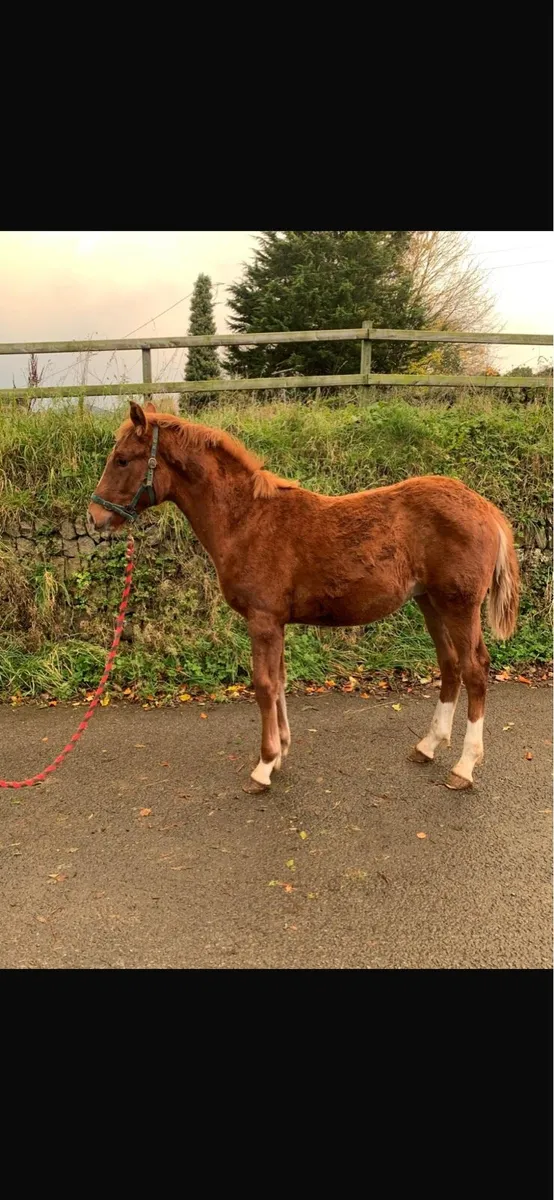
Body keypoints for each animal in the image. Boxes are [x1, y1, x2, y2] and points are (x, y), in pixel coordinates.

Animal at [88, 401, 520, 794]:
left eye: (122, 460)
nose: (95, 517)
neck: (247, 520)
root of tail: (486, 508)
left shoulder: (262, 619)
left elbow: (264, 684)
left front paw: (263, 766)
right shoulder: (276, 622)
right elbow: (279, 681)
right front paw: (280, 752)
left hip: (460, 606)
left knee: (475, 669)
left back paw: (464, 766)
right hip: (430, 603)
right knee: (450, 666)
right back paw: (428, 746)